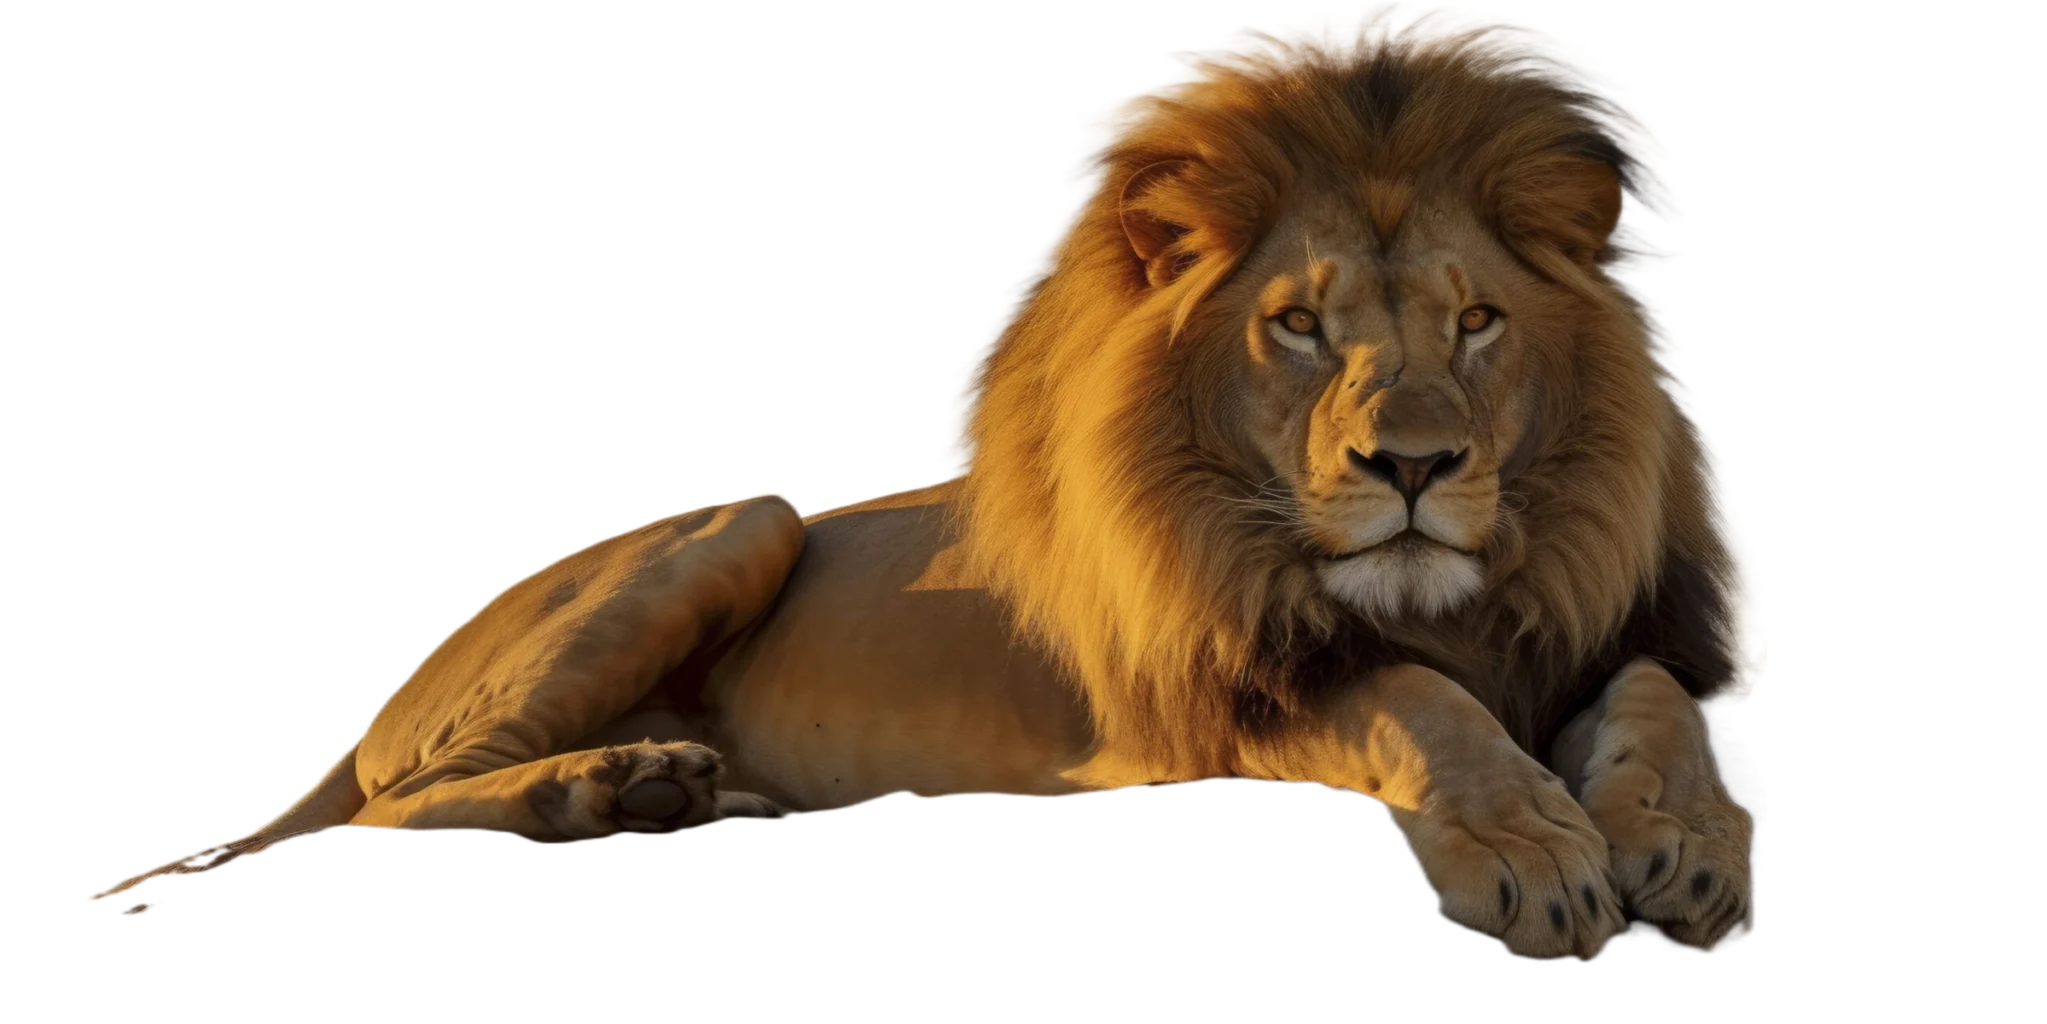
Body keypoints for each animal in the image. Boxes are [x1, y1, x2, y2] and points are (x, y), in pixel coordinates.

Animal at [87, 5, 1765, 960]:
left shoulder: (1605, 636)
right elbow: (1413, 705)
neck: (1443, 598)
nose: (1410, 465)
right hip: (737, 526)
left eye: (1474, 324)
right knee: (398, 808)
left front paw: (1682, 841)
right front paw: (1533, 853)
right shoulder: (1208, 699)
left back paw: (671, 785)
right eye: (1296, 326)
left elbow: (1661, 705)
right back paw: (606, 790)